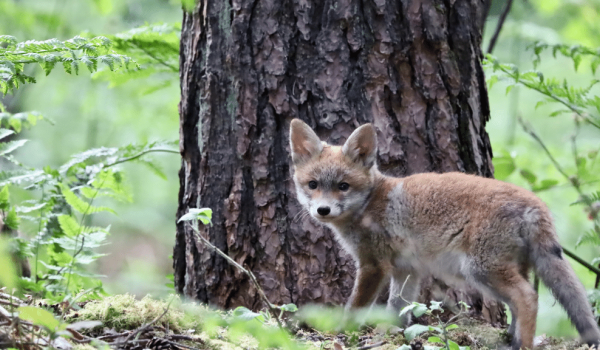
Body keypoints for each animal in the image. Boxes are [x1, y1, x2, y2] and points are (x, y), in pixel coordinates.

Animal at [288, 119, 600, 348]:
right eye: (313, 184)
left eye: (343, 186)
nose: (323, 210)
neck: (369, 202)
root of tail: (535, 202)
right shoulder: (406, 269)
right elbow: (399, 307)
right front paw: (390, 333)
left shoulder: (373, 266)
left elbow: (355, 307)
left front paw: (343, 333)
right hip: (508, 268)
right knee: (521, 301)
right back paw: (512, 338)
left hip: (481, 269)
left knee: (527, 297)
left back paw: (523, 344)